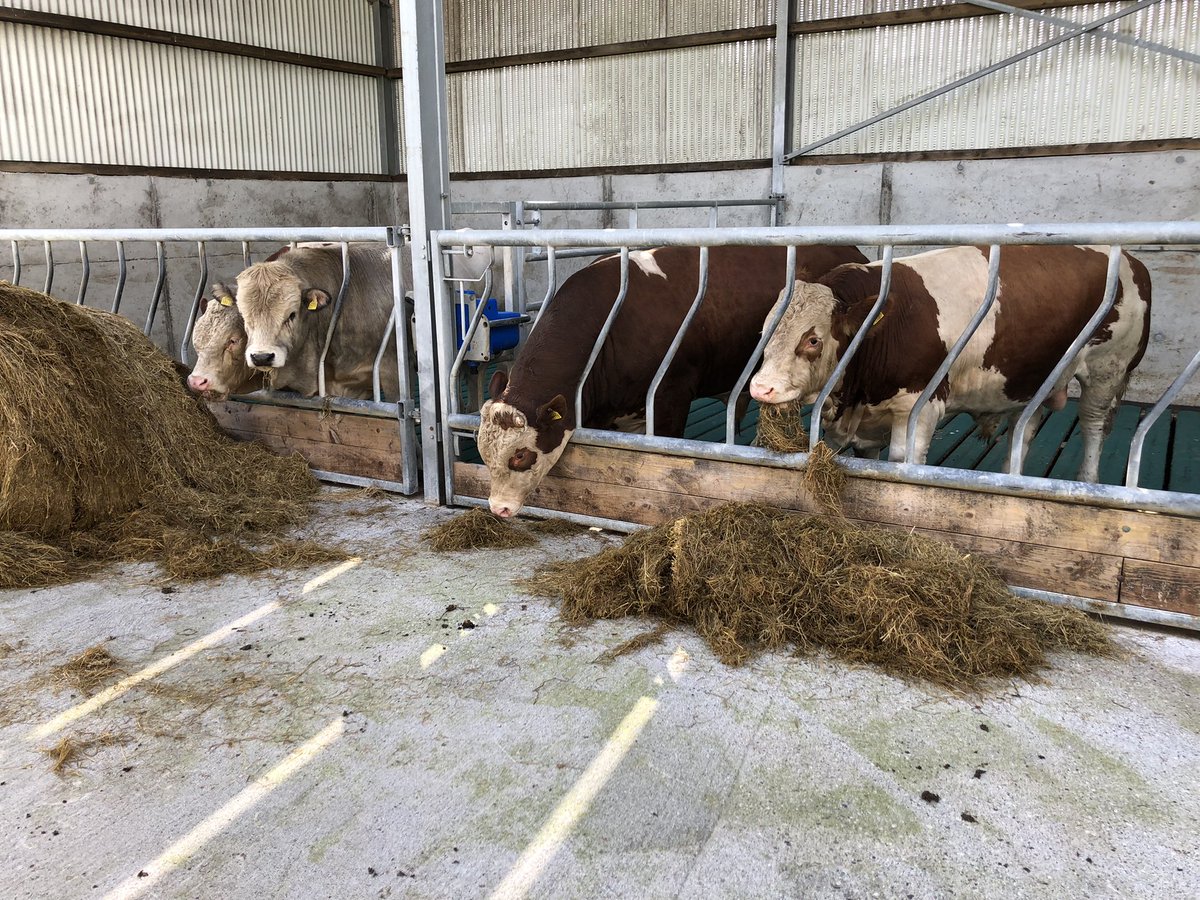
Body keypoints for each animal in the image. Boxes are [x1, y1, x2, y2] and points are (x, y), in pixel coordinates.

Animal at [748, 245, 1152, 482]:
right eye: (764, 332)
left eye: (813, 340)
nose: (761, 388)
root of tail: (1133, 260)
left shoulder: (921, 407)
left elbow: (902, 464)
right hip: (1033, 377)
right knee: (1025, 426)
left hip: (1108, 368)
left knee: (1094, 424)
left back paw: (1087, 481)